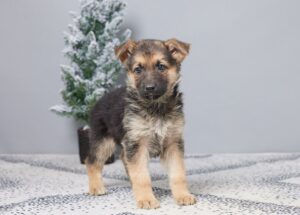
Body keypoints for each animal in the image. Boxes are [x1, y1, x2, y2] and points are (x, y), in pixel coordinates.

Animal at [86, 38, 197, 208]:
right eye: (138, 70)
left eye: (161, 66)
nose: (149, 88)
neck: (155, 108)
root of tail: (100, 100)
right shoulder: (138, 144)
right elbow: (142, 176)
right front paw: (146, 199)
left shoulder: (173, 143)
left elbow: (178, 174)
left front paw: (182, 195)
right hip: (103, 142)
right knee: (91, 162)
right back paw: (95, 187)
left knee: (123, 158)